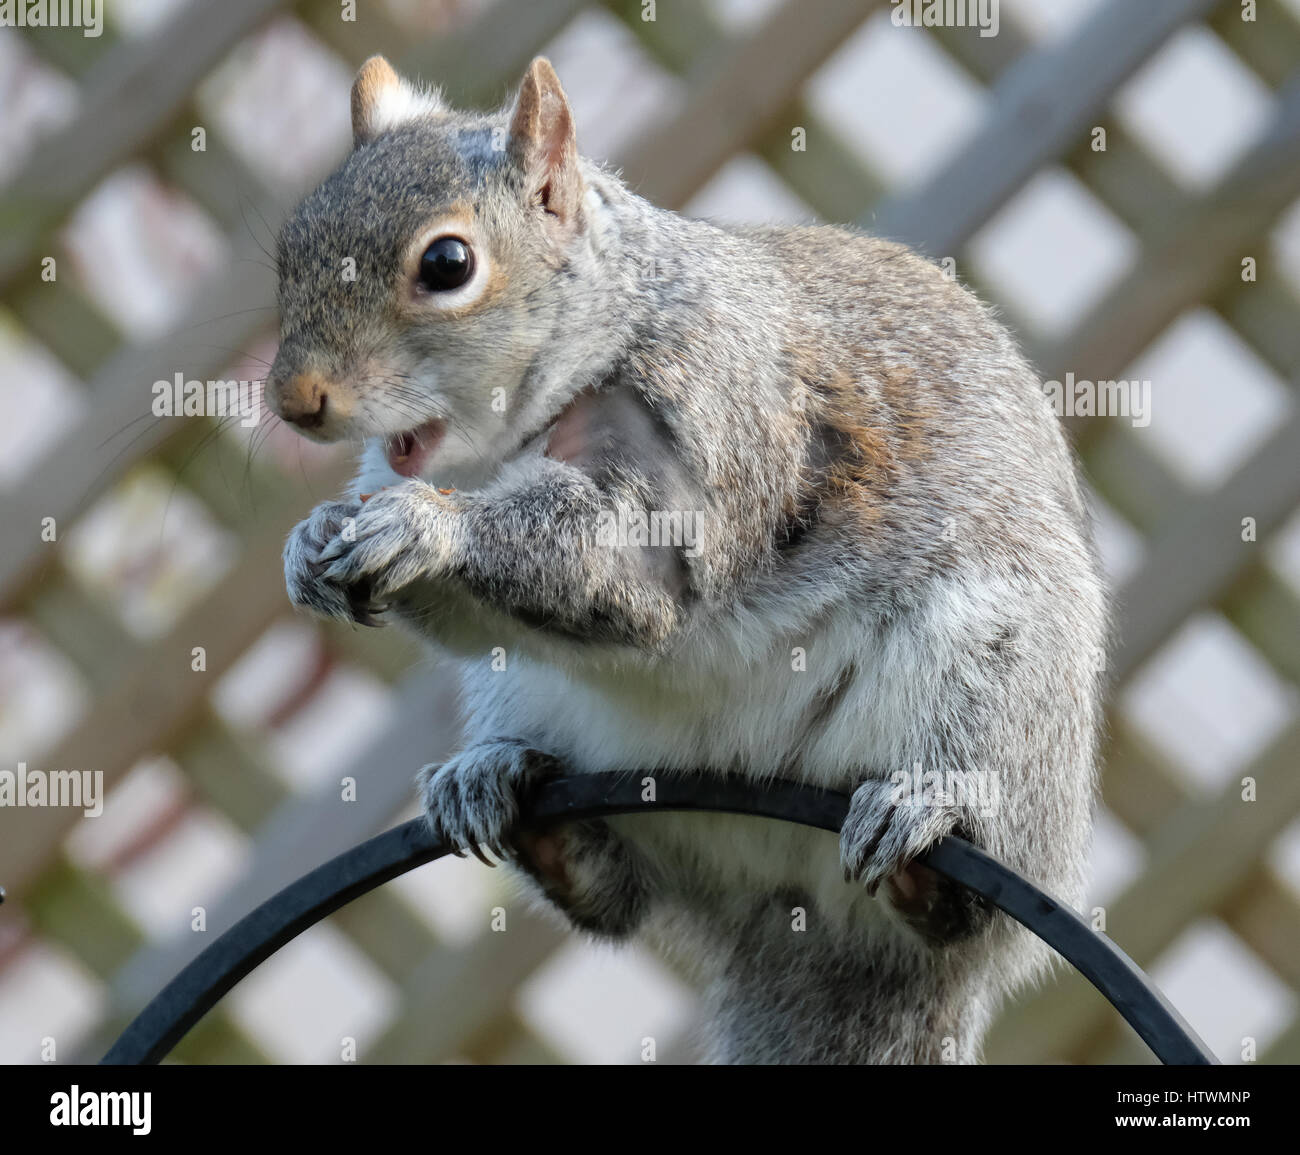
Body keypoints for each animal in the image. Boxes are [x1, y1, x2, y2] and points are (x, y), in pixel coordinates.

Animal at [265, 54, 1109, 1064]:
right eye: (287, 252)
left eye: (447, 264)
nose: (293, 401)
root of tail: (804, 912)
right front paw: (311, 541)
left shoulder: (710, 413)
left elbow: (623, 575)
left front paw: (428, 529)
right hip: (550, 712)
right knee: (615, 896)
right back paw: (510, 791)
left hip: (998, 674)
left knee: (965, 898)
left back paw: (925, 825)